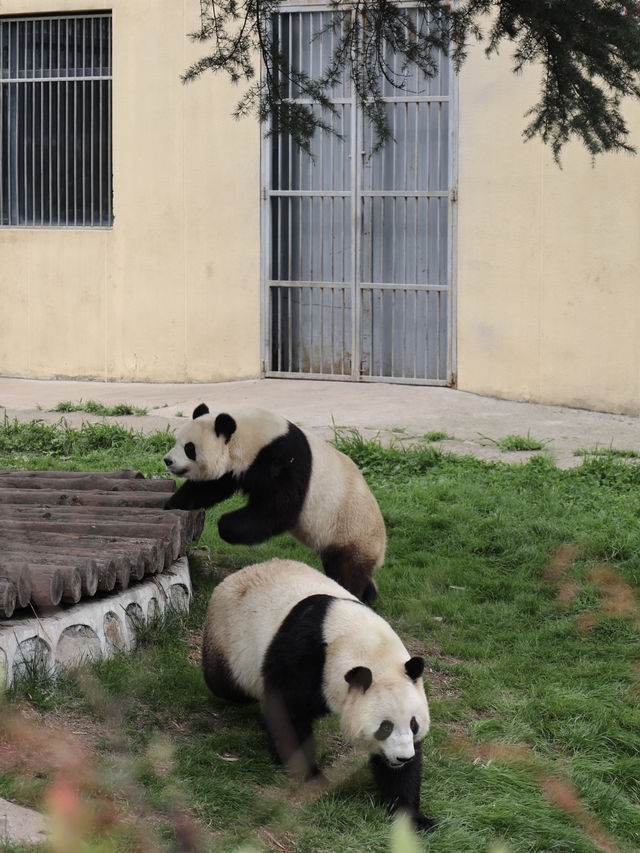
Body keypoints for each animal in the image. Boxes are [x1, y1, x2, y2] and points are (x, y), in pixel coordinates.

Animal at [164, 402, 384, 604]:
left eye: (189, 448)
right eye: (178, 441)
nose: (168, 460)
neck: (251, 437)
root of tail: (382, 548)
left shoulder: (283, 460)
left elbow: (279, 509)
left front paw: (225, 524)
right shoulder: (237, 467)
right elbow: (211, 487)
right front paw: (173, 504)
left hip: (350, 530)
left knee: (348, 570)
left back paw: (355, 594)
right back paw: (370, 593)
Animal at [204, 560, 436, 832]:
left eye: (413, 724)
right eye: (385, 727)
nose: (402, 757)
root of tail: (239, 573)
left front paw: (413, 816)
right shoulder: (304, 657)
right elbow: (287, 712)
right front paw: (311, 776)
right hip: (229, 640)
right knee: (227, 684)